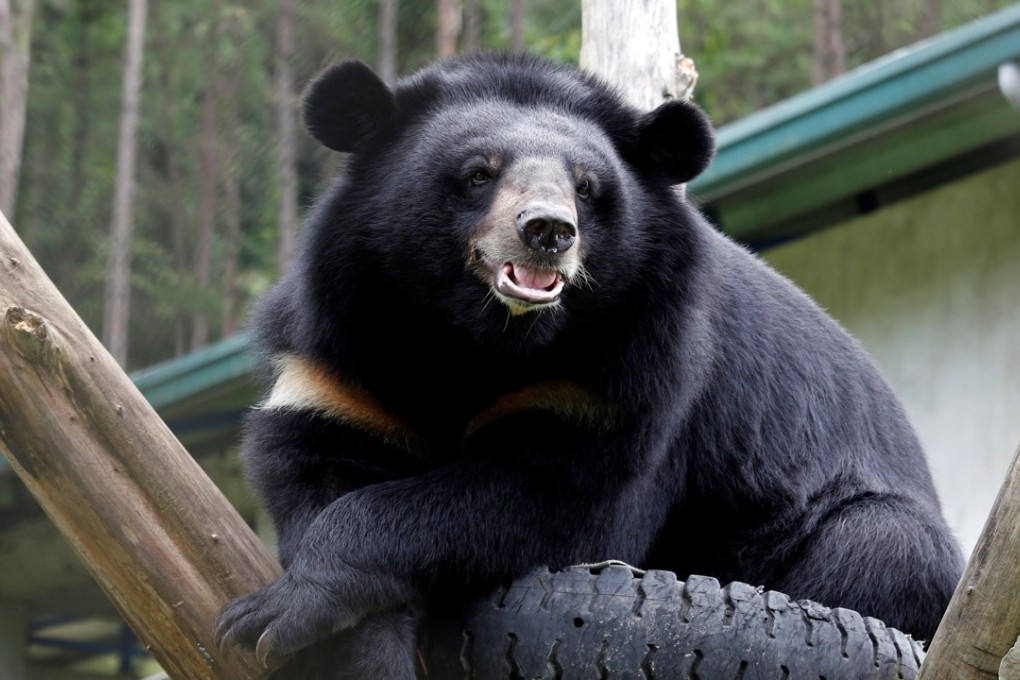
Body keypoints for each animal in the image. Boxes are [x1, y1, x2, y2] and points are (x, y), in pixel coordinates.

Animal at [216, 52, 964, 678]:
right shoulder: (342, 355)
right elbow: (320, 461)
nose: (548, 231)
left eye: (586, 187)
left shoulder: (620, 373)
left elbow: (557, 498)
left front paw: (277, 611)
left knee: (877, 548)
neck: (477, 338)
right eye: (479, 172)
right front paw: (335, 641)